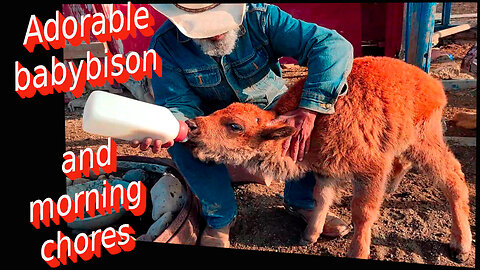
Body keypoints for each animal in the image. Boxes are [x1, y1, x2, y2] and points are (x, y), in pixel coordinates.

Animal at [186, 56, 470, 262]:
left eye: (235, 126)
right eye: (219, 111)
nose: (192, 125)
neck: (314, 127)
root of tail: (432, 83)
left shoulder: (370, 170)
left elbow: (362, 213)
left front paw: (357, 252)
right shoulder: (325, 172)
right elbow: (320, 199)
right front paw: (309, 236)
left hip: (425, 142)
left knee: (454, 178)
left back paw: (461, 247)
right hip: (408, 142)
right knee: (406, 163)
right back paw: (392, 188)